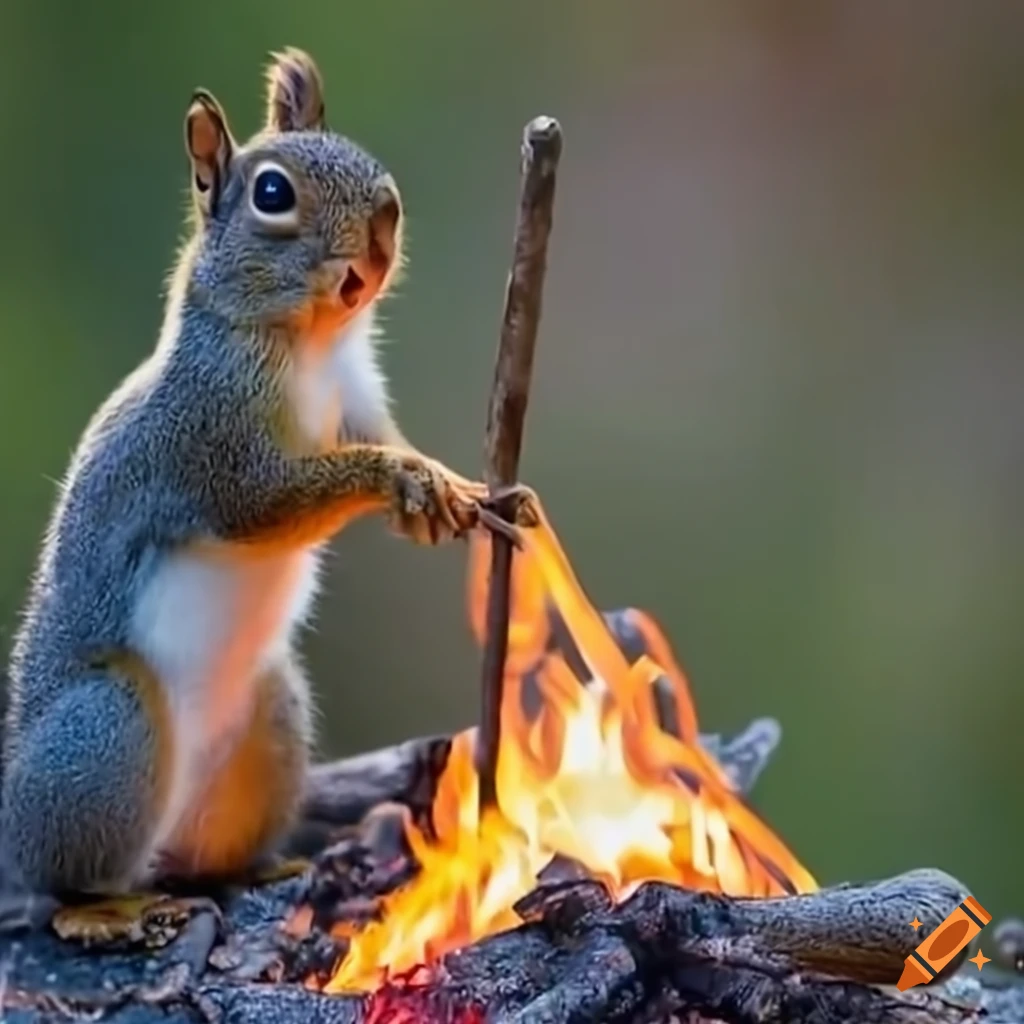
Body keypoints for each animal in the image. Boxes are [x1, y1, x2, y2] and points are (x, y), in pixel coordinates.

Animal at [0, 48, 529, 900]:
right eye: (272, 194)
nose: (386, 222)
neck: (308, 345)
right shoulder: (207, 441)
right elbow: (263, 502)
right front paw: (398, 479)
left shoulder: (357, 395)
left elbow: (385, 444)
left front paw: (447, 487)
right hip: (107, 733)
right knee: (70, 879)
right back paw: (108, 907)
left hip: (272, 713)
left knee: (202, 855)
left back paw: (260, 867)